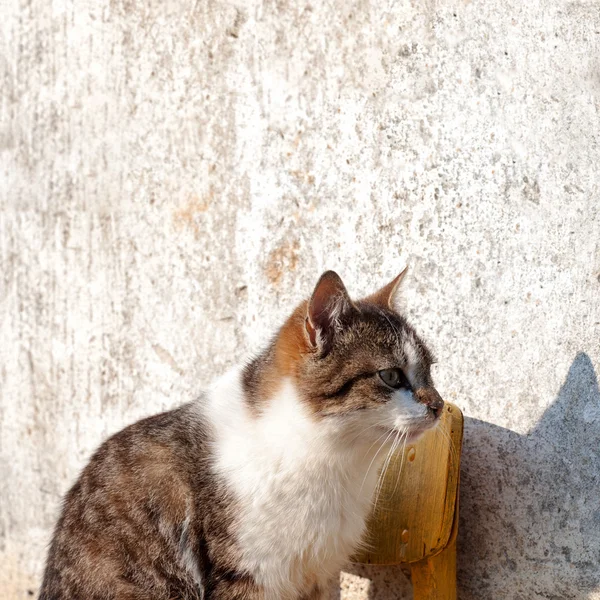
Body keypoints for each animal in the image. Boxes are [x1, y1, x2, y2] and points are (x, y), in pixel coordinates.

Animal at [37, 270, 440, 600]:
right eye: (391, 376)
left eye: (430, 370)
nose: (438, 404)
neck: (330, 461)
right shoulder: (247, 574)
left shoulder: (319, 574)